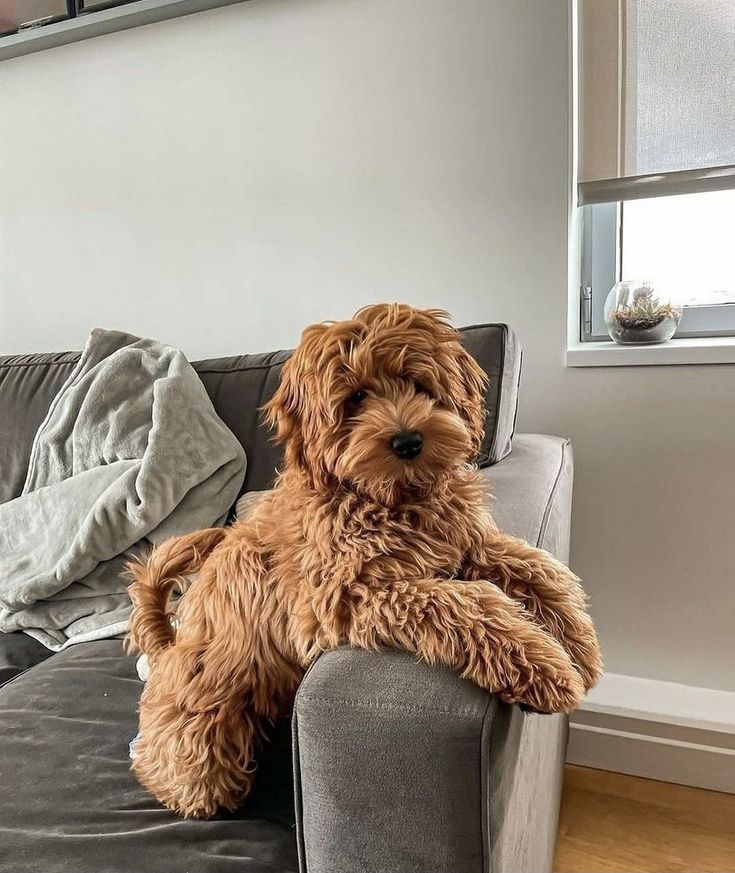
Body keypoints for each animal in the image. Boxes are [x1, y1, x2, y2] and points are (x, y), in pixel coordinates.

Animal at [126, 304, 600, 816]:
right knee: (172, 764)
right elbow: (468, 602)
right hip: (204, 722)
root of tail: (168, 646)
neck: (390, 499)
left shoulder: (468, 544)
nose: (409, 442)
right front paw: (545, 667)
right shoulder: (346, 595)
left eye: (417, 383)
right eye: (355, 398)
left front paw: (579, 645)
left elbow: (539, 567)